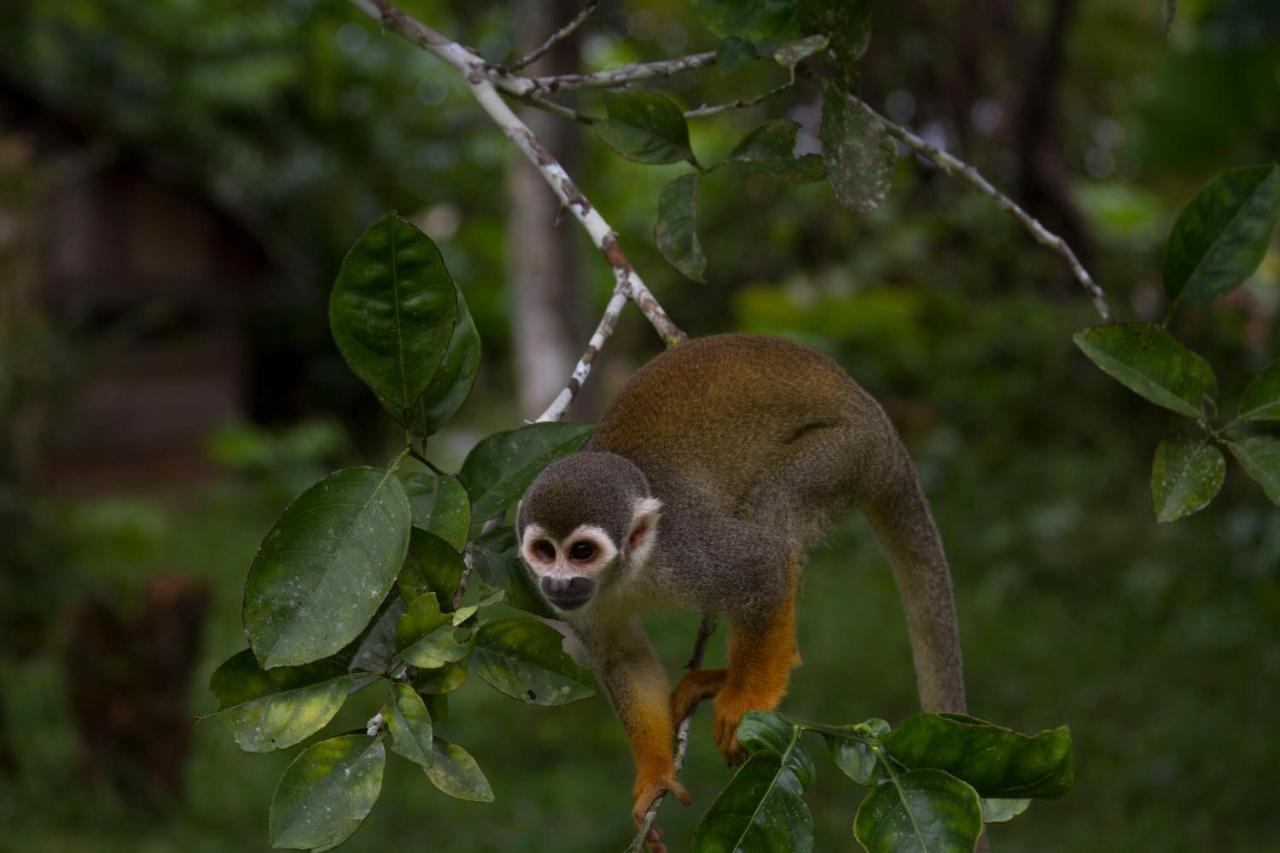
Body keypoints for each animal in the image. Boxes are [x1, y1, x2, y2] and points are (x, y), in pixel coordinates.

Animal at [514, 330, 962, 819]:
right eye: (544, 551)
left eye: (582, 552)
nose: (557, 583)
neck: (628, 572)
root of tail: (883, 424)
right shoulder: (581, 605)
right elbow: (619, 655)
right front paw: (656, 772)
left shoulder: (686, 550)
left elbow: (763, 567)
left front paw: (743, 702)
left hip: (849, 453)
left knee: (775, 508)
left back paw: (758, 669)